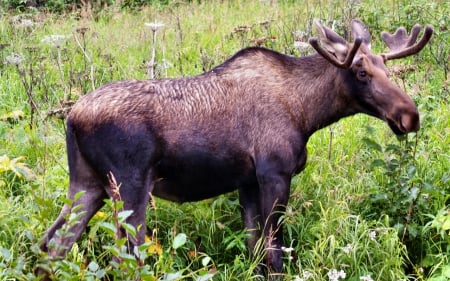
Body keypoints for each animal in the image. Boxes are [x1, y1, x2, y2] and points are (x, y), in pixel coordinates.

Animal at [37, 19, 432, 278]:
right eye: (361, 72)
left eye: (385, 68)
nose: (410, 116)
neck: (307, 113)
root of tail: (71, 118)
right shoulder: (274, 172)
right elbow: (275, 251)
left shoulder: (247, 181)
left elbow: (254, 247)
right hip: (128, 187)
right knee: (123, 258)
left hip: (87, 185)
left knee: (51, 245)